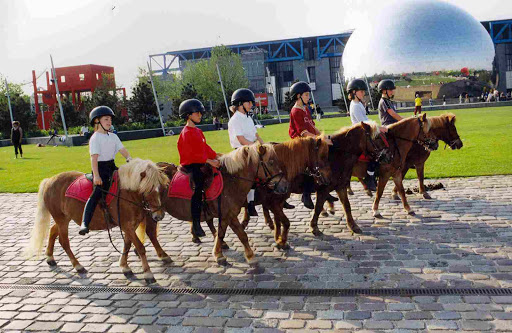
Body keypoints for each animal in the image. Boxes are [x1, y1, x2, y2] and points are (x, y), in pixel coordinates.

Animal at [24, 158, 168, 282]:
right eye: (148, 189)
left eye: (161, 188)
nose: (159, 215)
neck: (127, 193)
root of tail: (49, 180)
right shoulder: (127, 225)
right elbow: (140, 247)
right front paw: (148, 274)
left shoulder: (131, 226)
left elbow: (127, 245)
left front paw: (125, 267)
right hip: (61, 219)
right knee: (64, 241)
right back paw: (78, 266)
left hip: (64, 217)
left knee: (53, 231)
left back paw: (50, 257)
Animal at [137, 144, 288, 268]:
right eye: (271, 162)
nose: (284, 186)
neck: (231, 181)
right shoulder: (230, 215)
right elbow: (242, 235)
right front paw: (251, 257)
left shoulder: (226, 215)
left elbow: (221, 233)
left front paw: (218, 254)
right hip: (152, 212)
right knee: (150, 233)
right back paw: (163, 255)